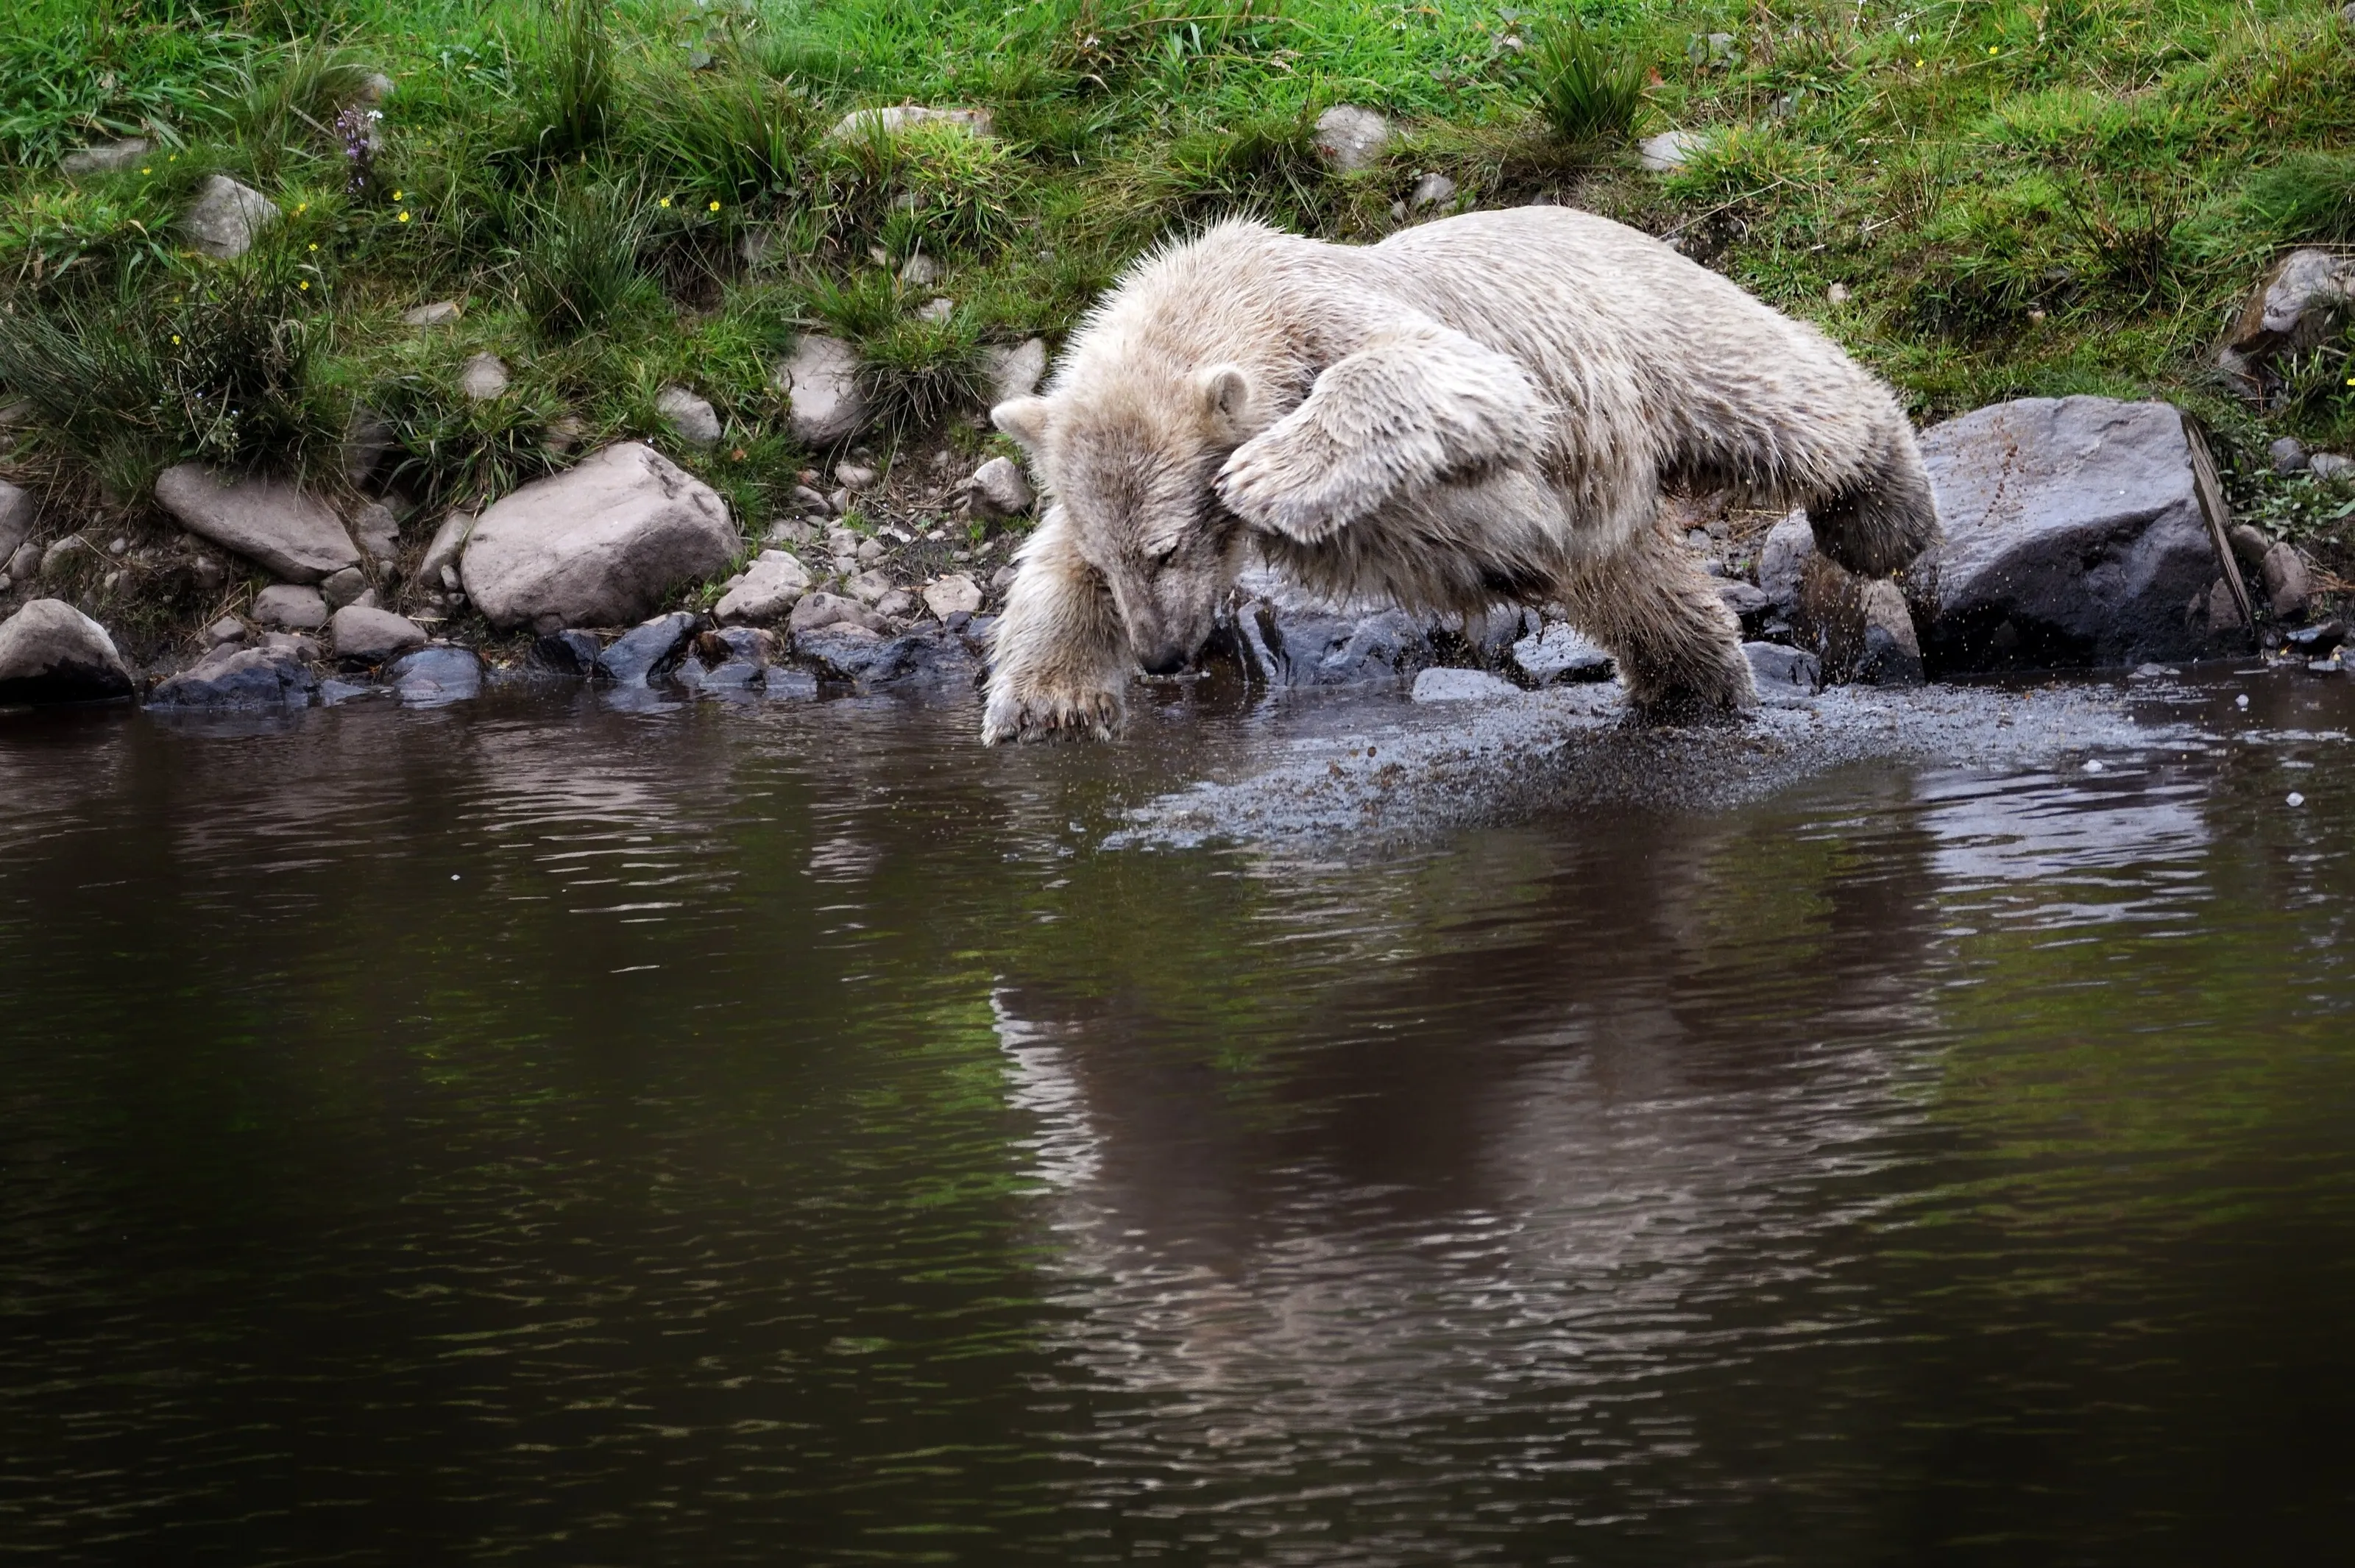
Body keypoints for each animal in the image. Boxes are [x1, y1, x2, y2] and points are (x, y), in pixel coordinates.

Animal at [981, 208, 1938, 743]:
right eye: (1119, 563)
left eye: (1167, 547)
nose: (1163, 655)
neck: (1227, 289)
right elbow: (1049, 565)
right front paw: (1047, 705)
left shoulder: (1322, 315)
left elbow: (1455, 378)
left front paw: (1268, 478)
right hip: (1601, 510)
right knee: (1643, 593)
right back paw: (1687, 690)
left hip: (1651, 329)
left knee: (1779, 400)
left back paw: (1880, 519)